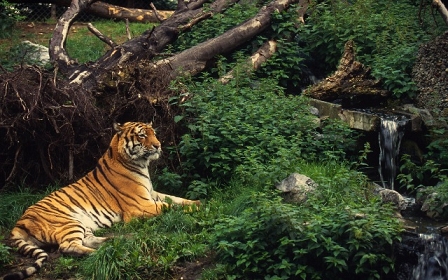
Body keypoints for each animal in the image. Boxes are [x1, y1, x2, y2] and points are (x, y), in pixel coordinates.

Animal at [3, 121, 200, 278]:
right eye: (143, 135)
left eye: (154, 134)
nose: (158, 146)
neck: (139, 164)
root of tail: (19, 222)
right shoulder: (140, 205)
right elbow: (168, 206)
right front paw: (198, 208)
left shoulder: (152, 194)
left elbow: (175, 199)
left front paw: (198, 202)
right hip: (68, 222)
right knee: (67, 246)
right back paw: (99, 254)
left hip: (83, 224)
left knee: (86, 240)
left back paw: (111, 243)